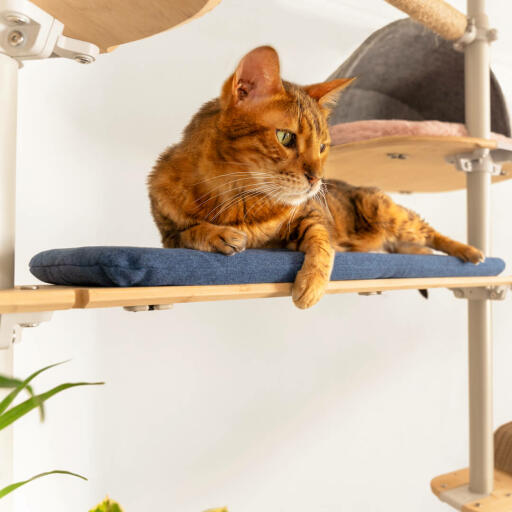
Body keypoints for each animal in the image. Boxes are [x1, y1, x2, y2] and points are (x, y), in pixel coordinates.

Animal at [147, 46, 480, 308]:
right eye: (285, 137)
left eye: (322, 147)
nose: (318, 178)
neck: (237, 199)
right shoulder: (168, 237)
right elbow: (189, 232)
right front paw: (218, 234)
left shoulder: (311, 214)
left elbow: (321, 243)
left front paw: (311, 284)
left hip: (387, 212)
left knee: (430, 232)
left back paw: (470, 252)